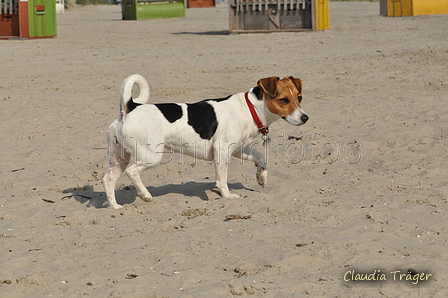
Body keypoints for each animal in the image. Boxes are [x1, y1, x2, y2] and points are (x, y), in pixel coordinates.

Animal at [103, 74, 310, 210]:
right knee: (132, 171)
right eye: (284, 100)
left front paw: (262, 177)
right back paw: (145, 195)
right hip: (151, 156)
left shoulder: (238, 149)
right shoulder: (222, 149)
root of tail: (129, 109)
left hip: (120, 158)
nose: (305, 117)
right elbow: (222, 178)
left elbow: (261, 158)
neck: (250, 108)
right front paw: (227, 195)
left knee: (108, 178)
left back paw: (115, 207)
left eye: (299, 98)